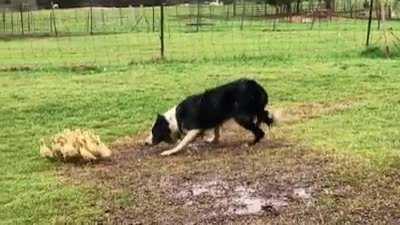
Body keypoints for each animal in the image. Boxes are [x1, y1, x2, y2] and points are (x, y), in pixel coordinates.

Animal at [144, 78, 276, 156]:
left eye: (154, 131)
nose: (145, 143)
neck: (174, 119)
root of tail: (258, 87)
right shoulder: (215, 119)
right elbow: (216, 132)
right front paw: (212, 140)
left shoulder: (195, 128)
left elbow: (182, 143)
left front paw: (169, 152)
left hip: (241, 117)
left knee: (260, 132)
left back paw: (250, 144)